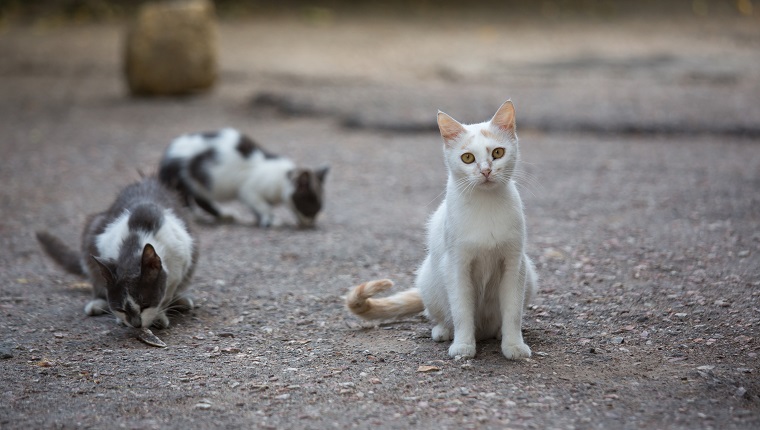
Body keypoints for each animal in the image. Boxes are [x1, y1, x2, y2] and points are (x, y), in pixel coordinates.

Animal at [37, 177, 197, 330]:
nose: (136, 324)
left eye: (145, 305)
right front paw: (121, 319)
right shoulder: (103, 242)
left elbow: (168, 293)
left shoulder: (181, 255)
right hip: (93, 228)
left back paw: (181, 300)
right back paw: (97, 302)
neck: (137, 236)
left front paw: (159, 315)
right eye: (121, 309)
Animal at [159, 127, 328, 228]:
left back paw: (224, 215)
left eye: (318, 209)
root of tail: (167, 154)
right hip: (183, 178)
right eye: (310, 207)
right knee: (185, 198)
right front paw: (271, 220)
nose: (311, 223)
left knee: (200, 199)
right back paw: (193, 216)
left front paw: (262, 219)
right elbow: (262, 205)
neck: (283, 178)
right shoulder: (249, 190)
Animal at [348, 101, 536, 360]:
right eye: (467, 158)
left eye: (498, 153)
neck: (486, 204)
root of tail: (484, 331)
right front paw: (463, 346)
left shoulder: (514, 264)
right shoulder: (456, 265)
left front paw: (514, 345)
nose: (486, 171)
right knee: (441, 314)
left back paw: (497, 333)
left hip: (530, 275)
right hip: (429, 278)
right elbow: (461, 310)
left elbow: (513, 311)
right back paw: (444, 331)